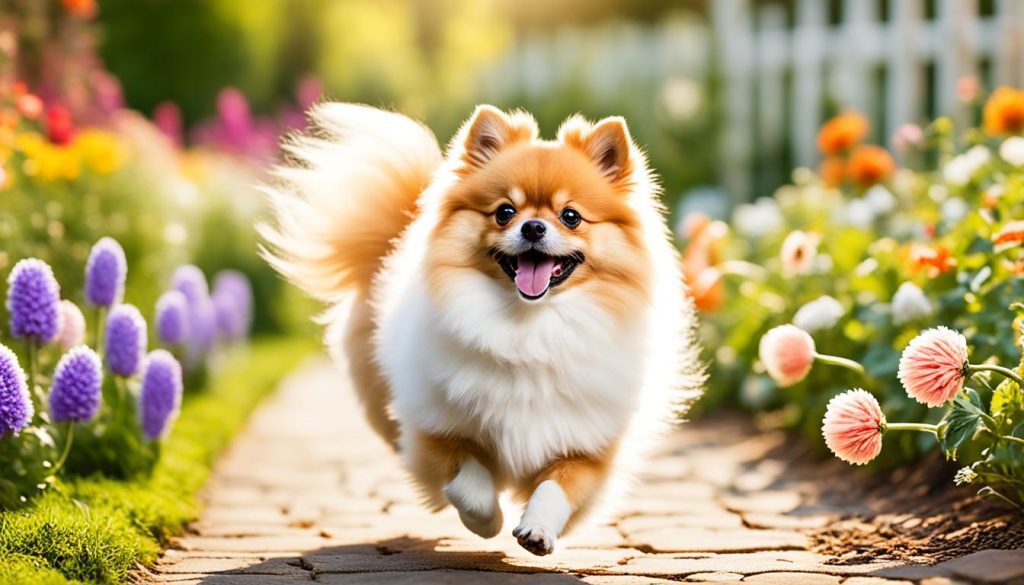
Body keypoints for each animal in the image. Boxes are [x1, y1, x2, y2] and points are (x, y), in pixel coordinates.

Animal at [260, 102, 700, 557]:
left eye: (571, 216)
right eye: (505, 212)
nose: (533, 227)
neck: (531, 325)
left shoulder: (589, 447)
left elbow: (556, 488)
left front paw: (537, 530)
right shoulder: (435, 426)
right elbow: (470, 484)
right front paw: (487, 523)